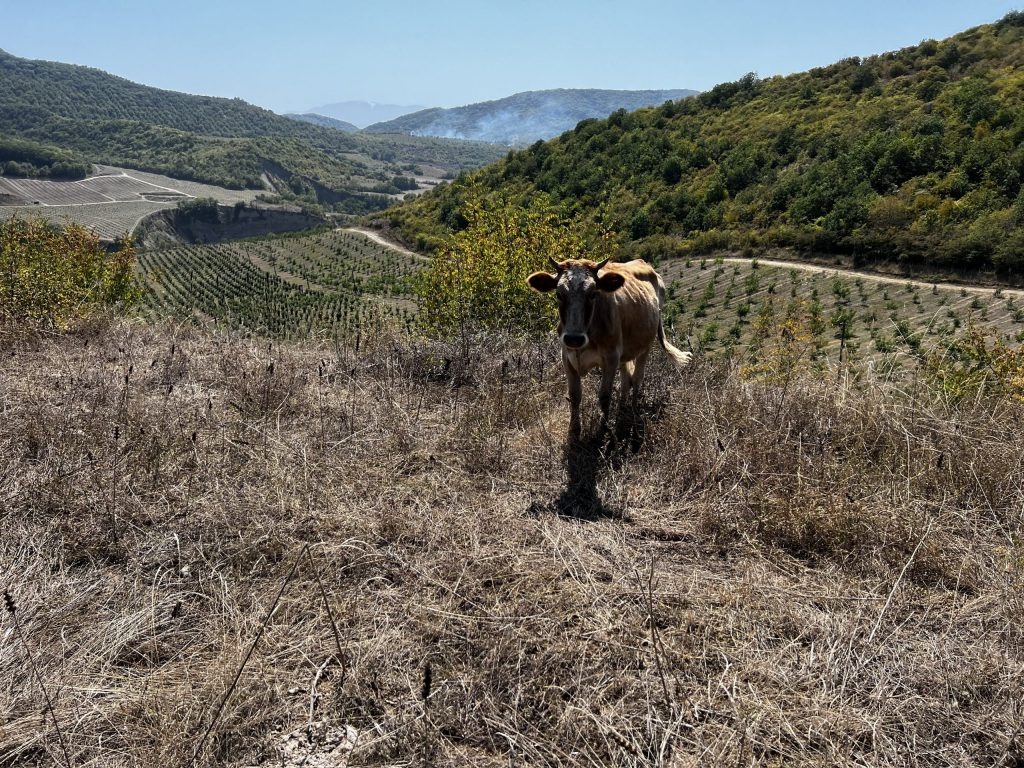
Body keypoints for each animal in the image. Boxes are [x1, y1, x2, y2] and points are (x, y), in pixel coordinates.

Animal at [528, 259, 688, 438]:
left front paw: (603, 430)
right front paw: (574, 431)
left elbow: (604, 396)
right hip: (625, 352)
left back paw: (632, 412)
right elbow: (574, 395)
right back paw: (622, 409)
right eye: (558, 294)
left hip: (646, 345)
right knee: (626, 380)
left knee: (637, 379)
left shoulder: (611, 358)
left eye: (593, 294)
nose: (574, 338)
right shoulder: (567, 358)